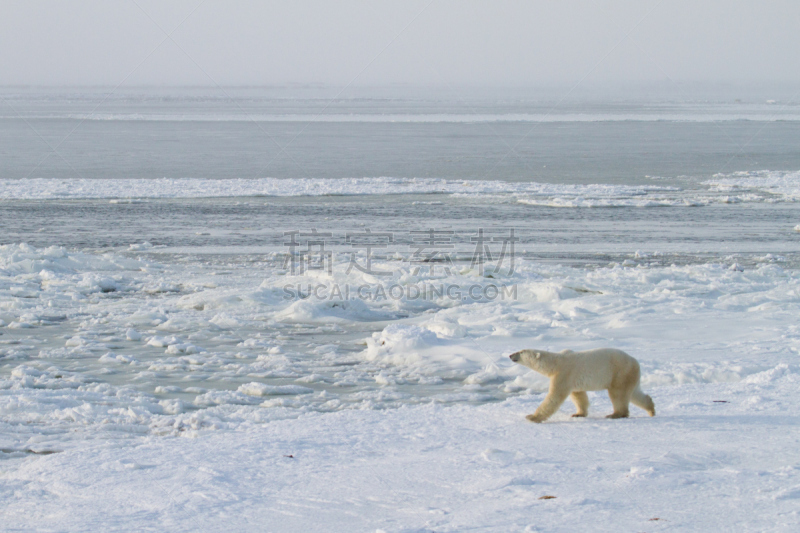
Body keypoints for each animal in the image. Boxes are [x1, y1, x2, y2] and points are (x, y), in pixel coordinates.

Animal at [510, 348, 652, 422]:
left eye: (521, 352)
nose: (510, 355)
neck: (556, 362)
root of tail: (635, 362)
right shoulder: (572, 380)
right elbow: (579, 396)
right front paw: (578, 414)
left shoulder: (564, 375)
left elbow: (554, 397)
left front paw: (532, 417)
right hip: (629, 376)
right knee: (634, 394)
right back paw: (651, 409)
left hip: (619, 373)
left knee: (618, 394)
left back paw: (615, 414)